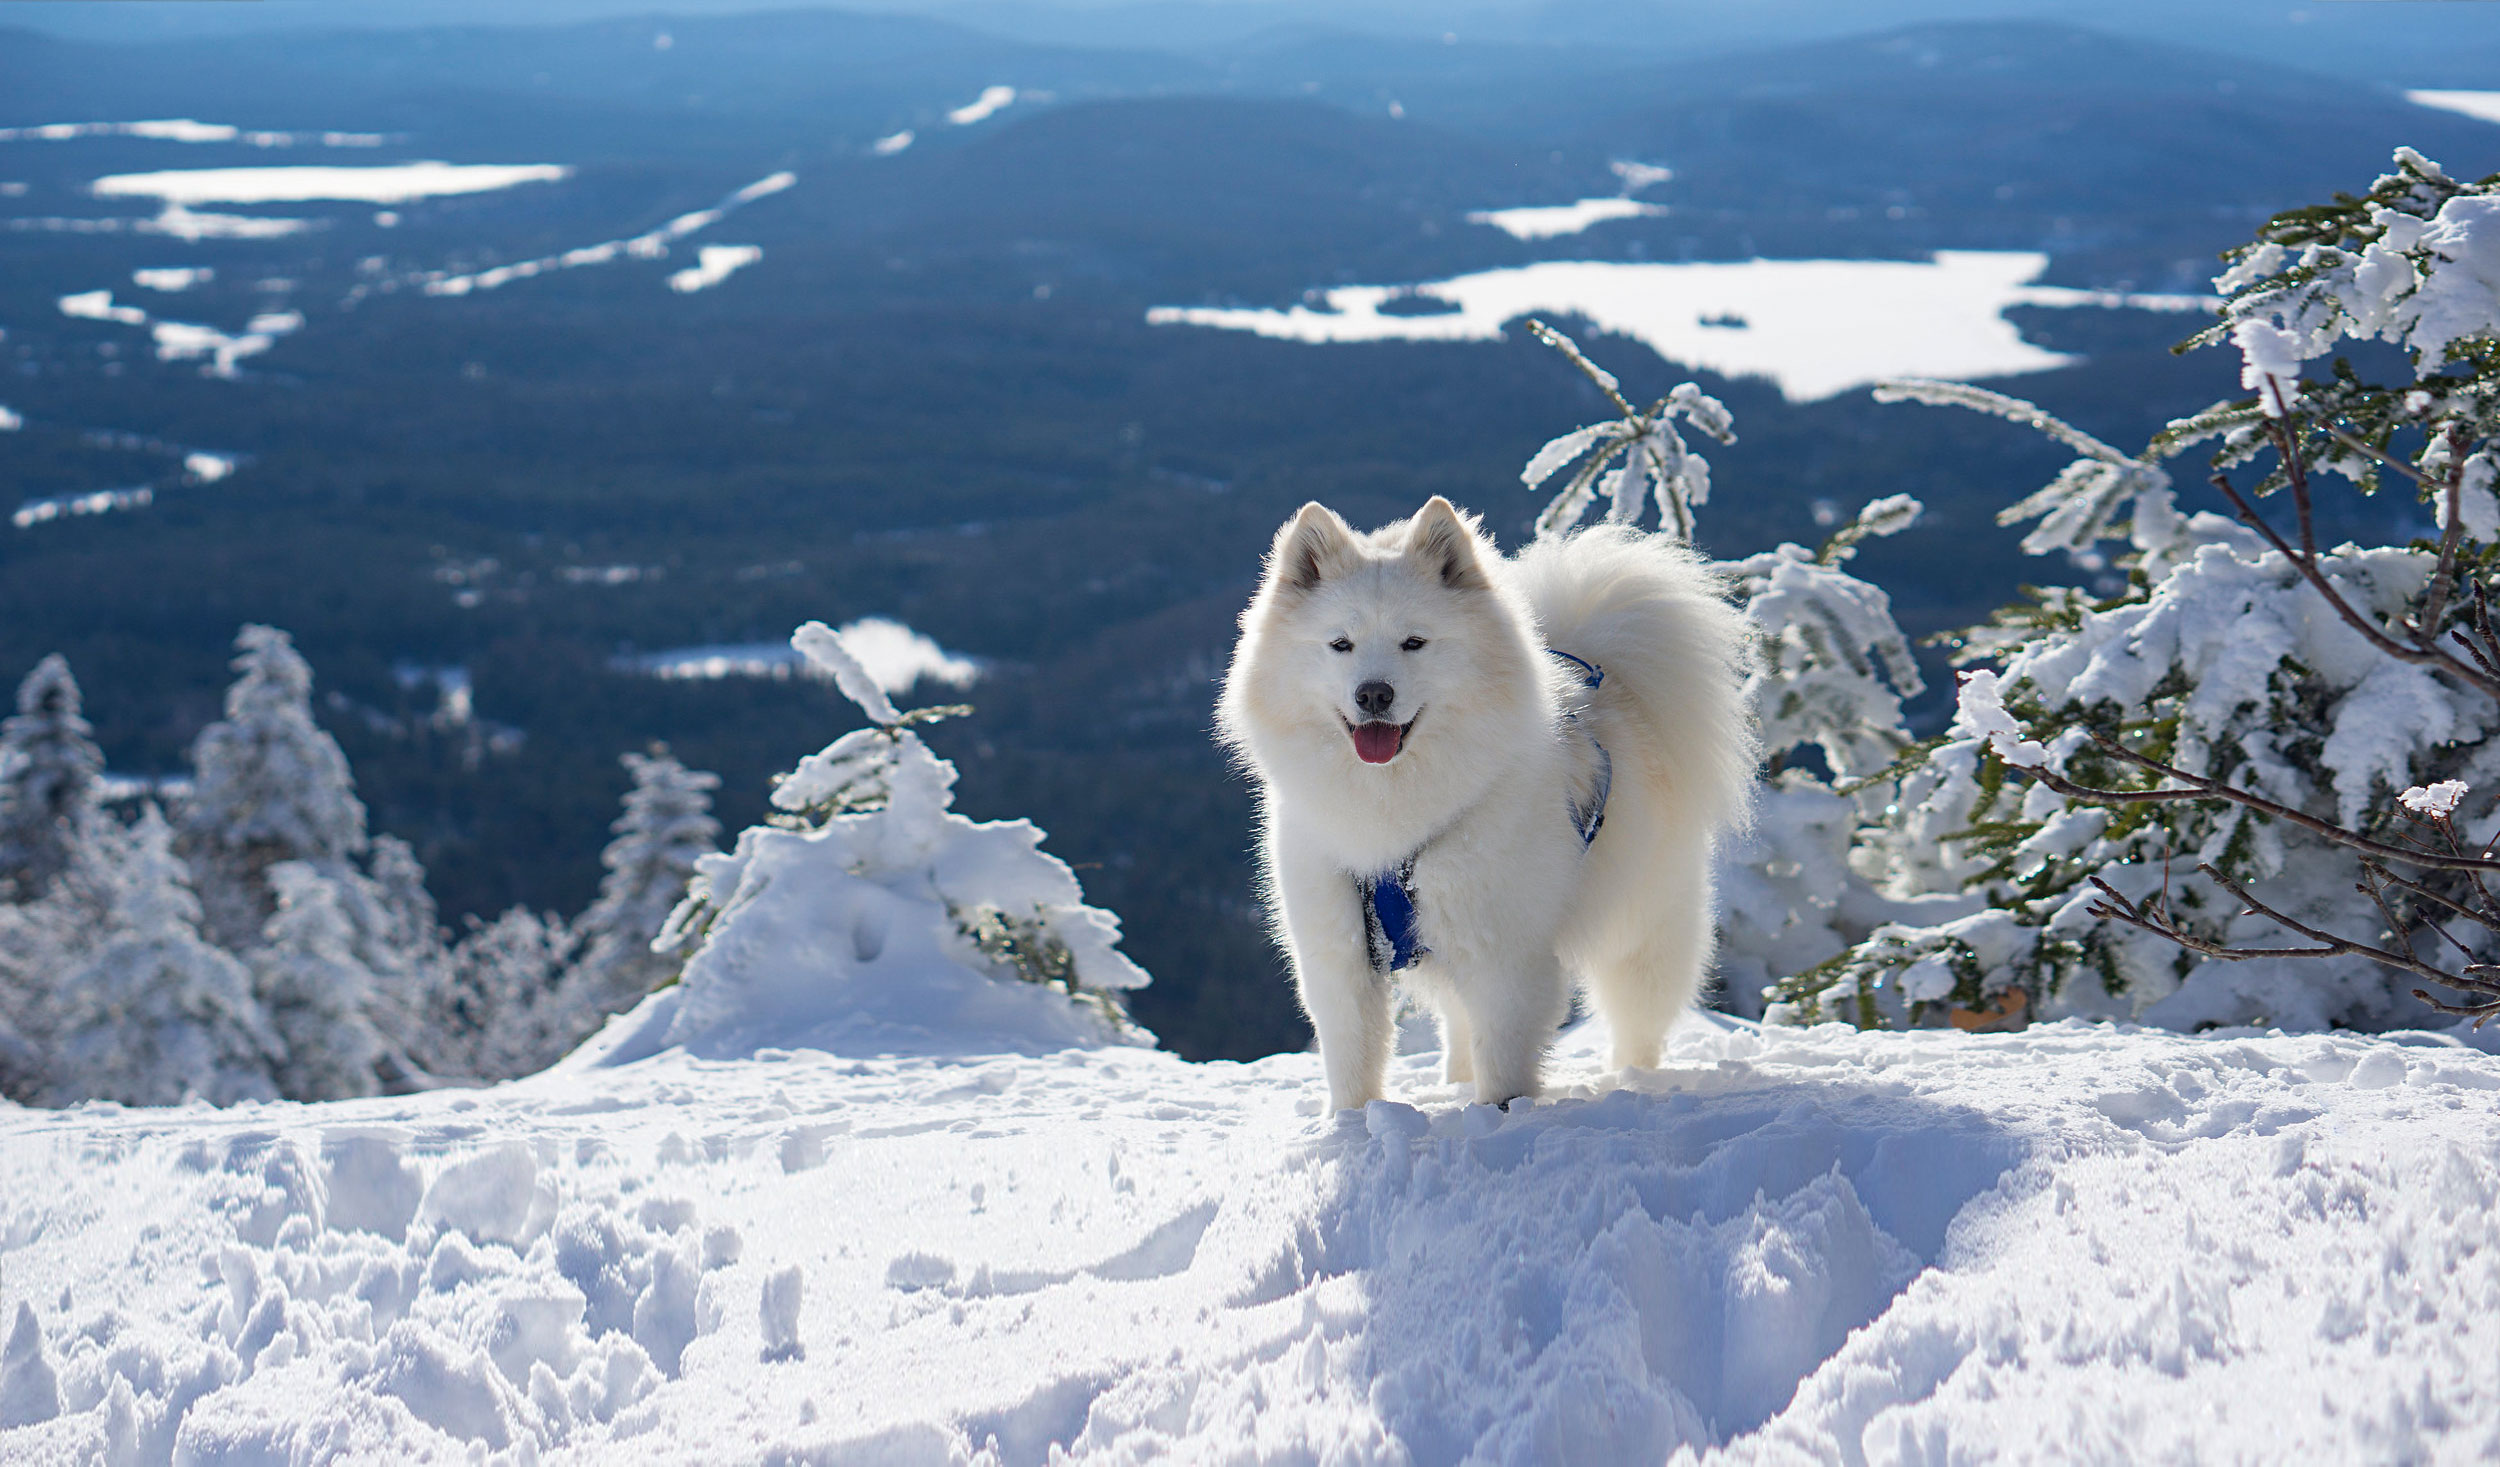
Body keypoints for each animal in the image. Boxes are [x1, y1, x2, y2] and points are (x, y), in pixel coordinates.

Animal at [1220, 499, 1750, 1109]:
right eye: (1340, 644)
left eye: (1414, 642)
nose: (1373, 693)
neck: (1389, 815)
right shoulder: (1339, 953)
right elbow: (1353, 1063)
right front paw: (1354, 1124)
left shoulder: (1502, 954)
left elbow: (1503, 1060)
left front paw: (1500, 1115)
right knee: (1458, 1022)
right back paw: (1453, 1081)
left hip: (1641, 929)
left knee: (1637, 1022)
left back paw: (1632, 1081)